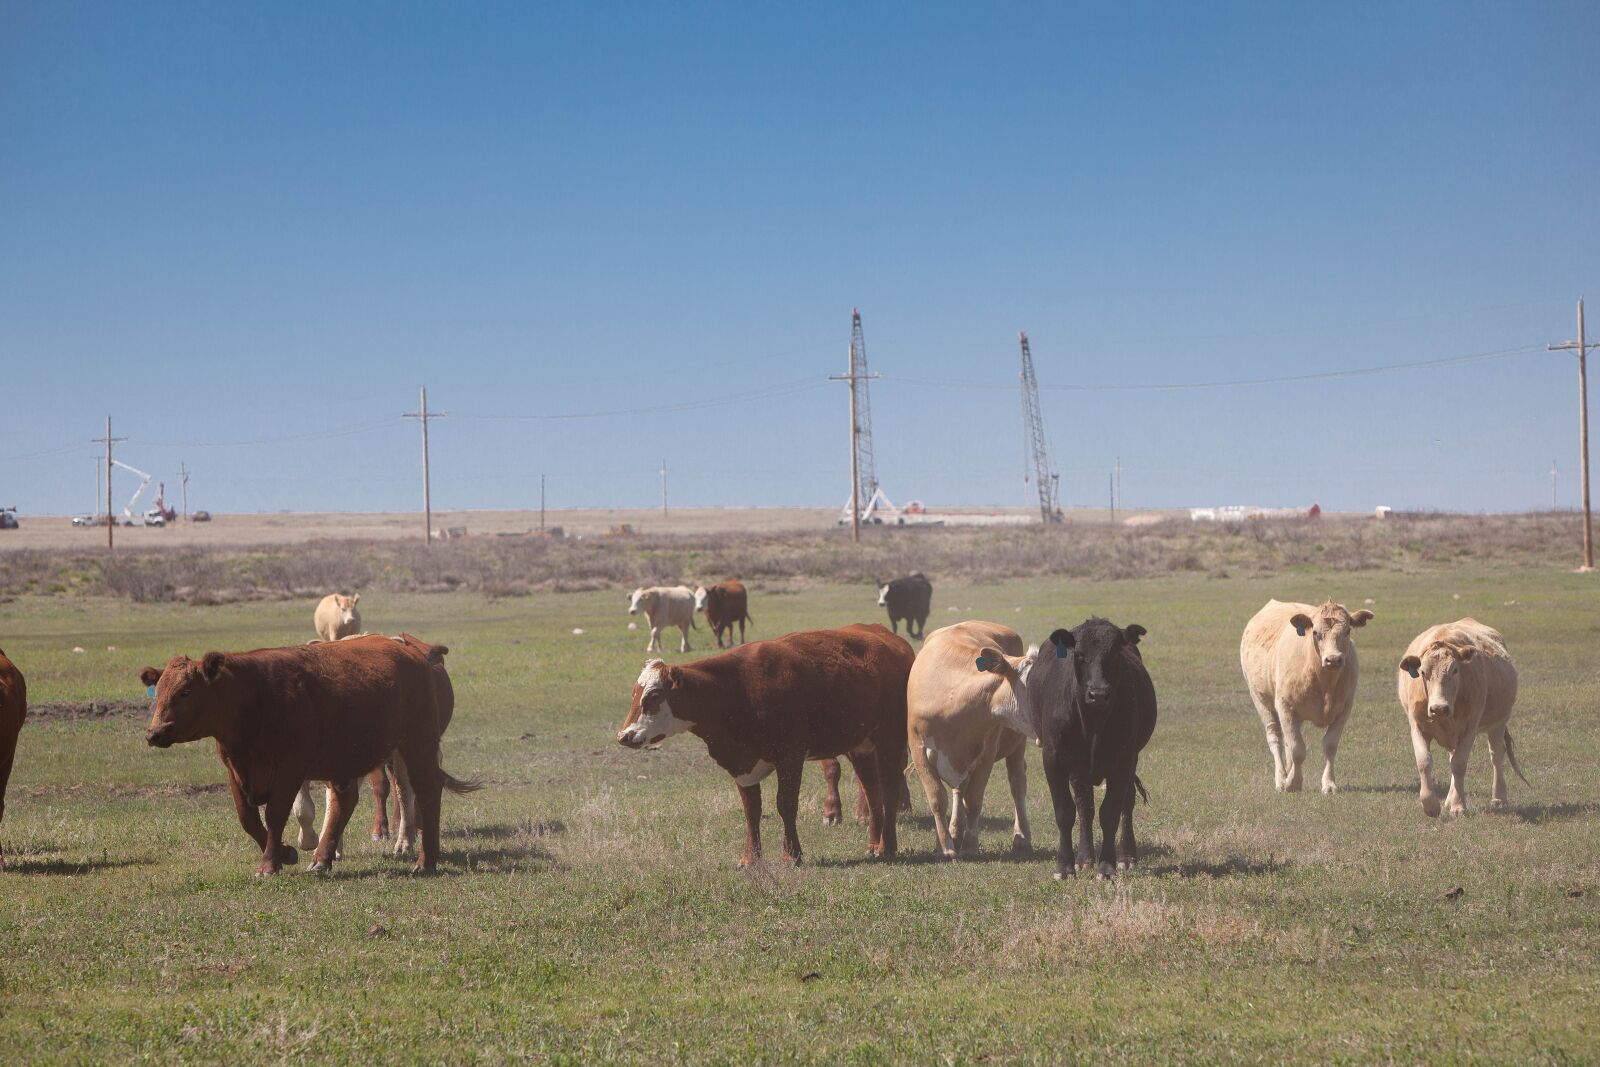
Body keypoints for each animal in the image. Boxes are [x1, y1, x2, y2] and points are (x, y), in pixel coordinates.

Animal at [616, 624, 914, 865]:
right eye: (634, 694)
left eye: (654, 695)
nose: (624, 735)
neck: (735, 690)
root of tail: (893, 641)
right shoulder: (742, 766)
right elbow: (752, 811)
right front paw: (750, 859)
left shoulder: (790, 756)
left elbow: (785, 804)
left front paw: (791, 855)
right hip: (861, 747)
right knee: (872, 792)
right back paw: (873, 845)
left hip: (890, 740)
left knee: (889, 789)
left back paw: (888, 847)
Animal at [908, 621, 1034, 857]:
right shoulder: (918, 749)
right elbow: (937, 797)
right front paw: (944, 845)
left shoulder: (987, 753)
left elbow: (974, 799)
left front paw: (970, 845)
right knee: (960, 789)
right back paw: (955, 832)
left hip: (1017, 743)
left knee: (1017, 783)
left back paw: (1022, 838)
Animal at [976, 617, 1156, 879]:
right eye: (1079, 655)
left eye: (1114, 653)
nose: (1098, 693)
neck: (1093, 722)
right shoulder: (1054, 760)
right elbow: (1065, 812)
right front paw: (1065, 866)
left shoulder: (1124, 759)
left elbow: (1111, 811)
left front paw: (1107, 867)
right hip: (1078, 770)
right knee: (1084, 808)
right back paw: (1084, 858)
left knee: (1124, 803)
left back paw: (1127, 856)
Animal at [1240, 599, 1373, 794]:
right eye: (1316, 632)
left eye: (1348, 630)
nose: (1333, 659)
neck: (1325, 683)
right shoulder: (1285, 706)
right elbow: (1297, 749)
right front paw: (1293, 783)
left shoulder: (1344, 709)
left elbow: (1330, 746)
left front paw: (1329, 784)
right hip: (1261, 701)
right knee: (1275, 738)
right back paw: (1281, 778)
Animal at [1398, 619, 1525, 817]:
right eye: (1423, 672)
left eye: (1455, 670)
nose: (1439, 708)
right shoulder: (1417, 726)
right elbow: (1424, 761)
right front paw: (1431, 805)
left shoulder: (1470, 728)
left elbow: (1458, 765)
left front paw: (1458, 806)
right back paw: (1449, 799)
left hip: (1498, 722)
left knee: (1496, 755)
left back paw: (1499, 798)